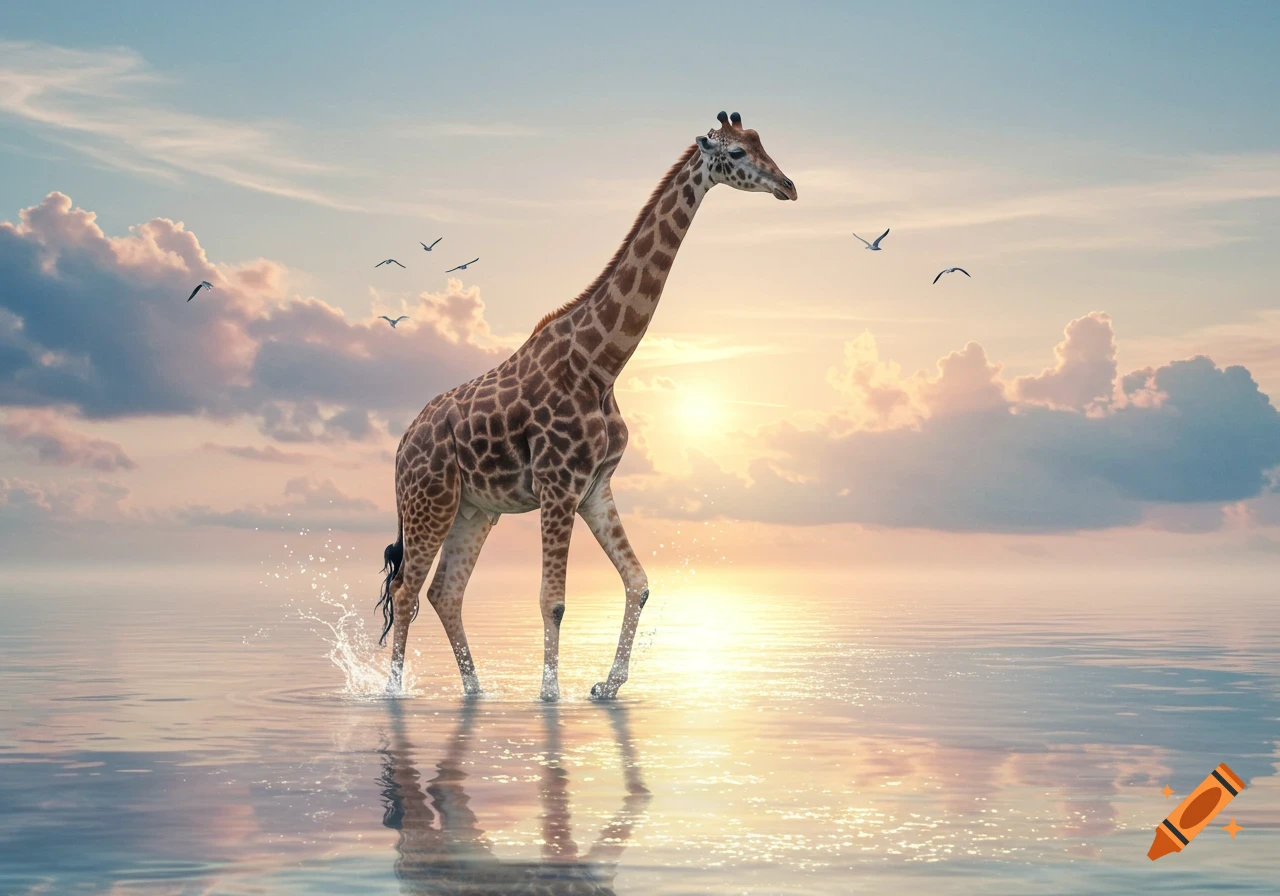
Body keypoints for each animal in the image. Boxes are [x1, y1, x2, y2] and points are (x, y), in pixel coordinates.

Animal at [379, 110, 796, 701]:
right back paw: (393, 692)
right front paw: (550, 695)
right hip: (428, 501)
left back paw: (476, 689)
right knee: (408, 592)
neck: (603, 364)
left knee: (444, 591)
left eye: (762, 142)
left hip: (474, 508)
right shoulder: (558, 486)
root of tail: (400, 445)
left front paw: (608, 685)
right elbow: (552, 600)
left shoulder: (595, 485)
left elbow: (639, 583)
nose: (789, 186)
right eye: (735, 154)